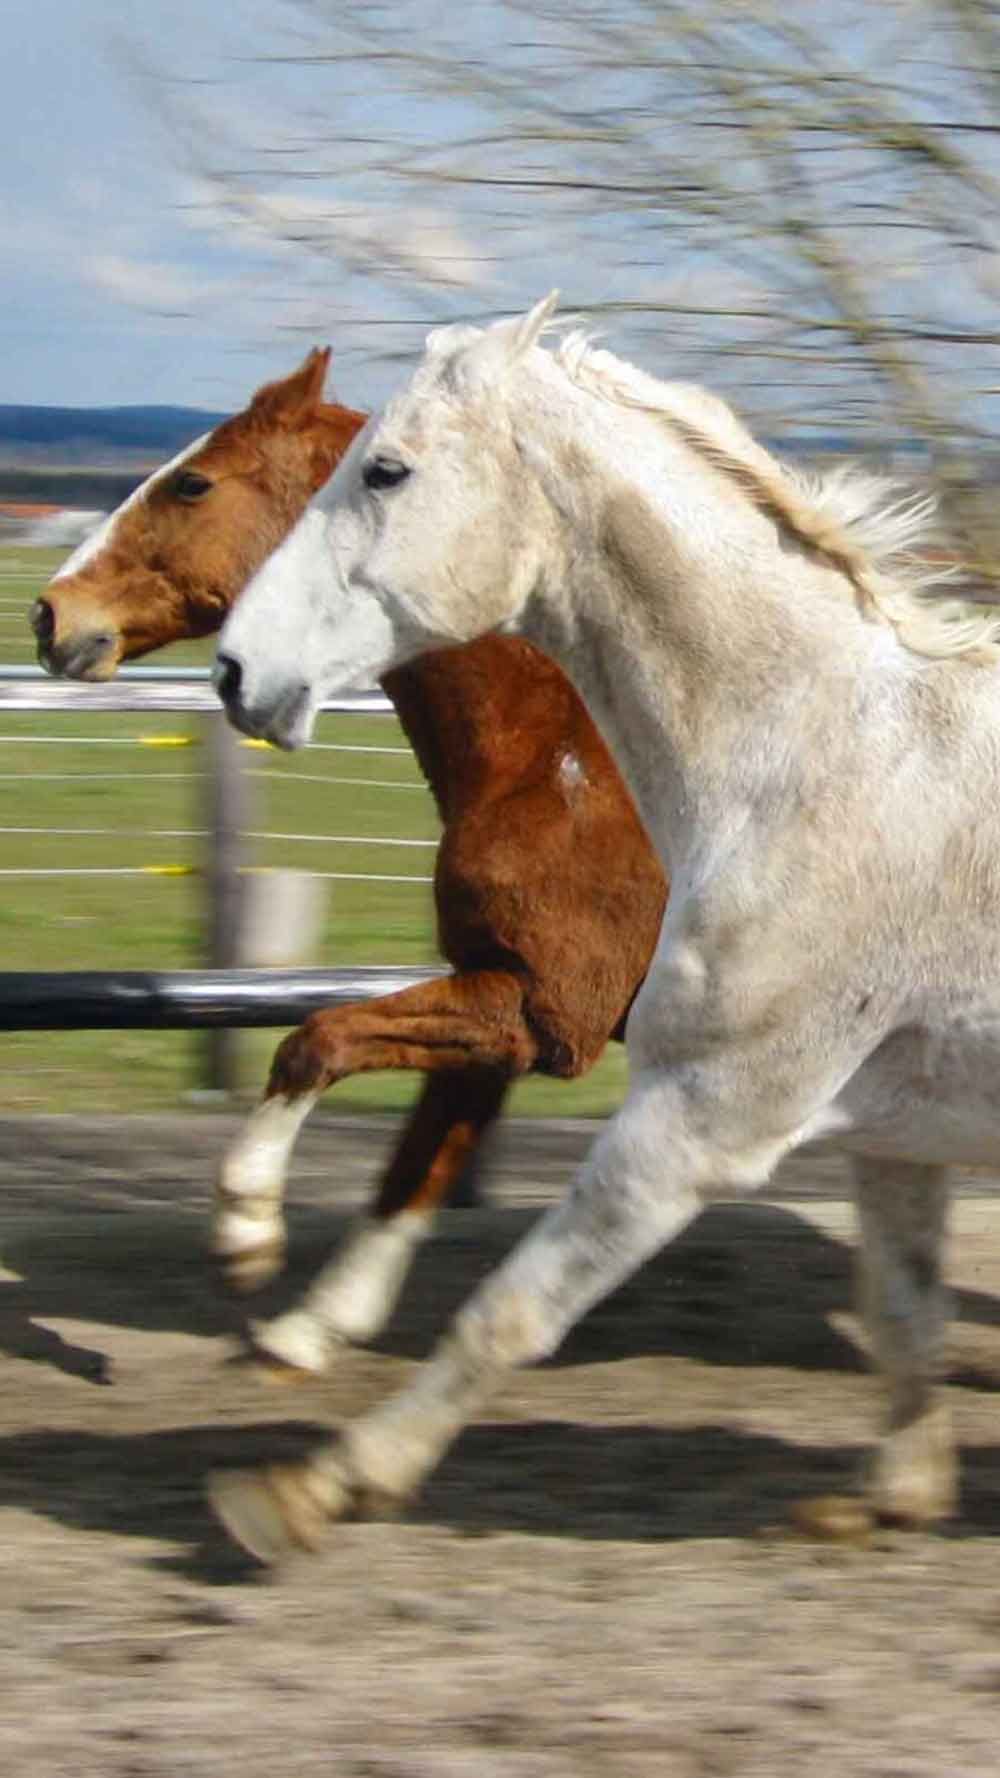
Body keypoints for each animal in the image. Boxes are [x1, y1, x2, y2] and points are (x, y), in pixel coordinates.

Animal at [32, 348, 666, 1379]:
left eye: (192, 482)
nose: (50, 616)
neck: (560, 756)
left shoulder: (550, 1009)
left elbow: (313, 1039)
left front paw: (246, 1234)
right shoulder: (499, 995)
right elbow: (416, 1161)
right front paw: (310, 1327)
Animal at [208, 292, 1000, 1562]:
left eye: (386, 468)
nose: (238, 670)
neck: (813, 761)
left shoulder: (700, 1118)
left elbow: (511, 1310)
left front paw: (310, 1489)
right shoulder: (893, 1131)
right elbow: (903, 1315)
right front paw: (886, 1500)